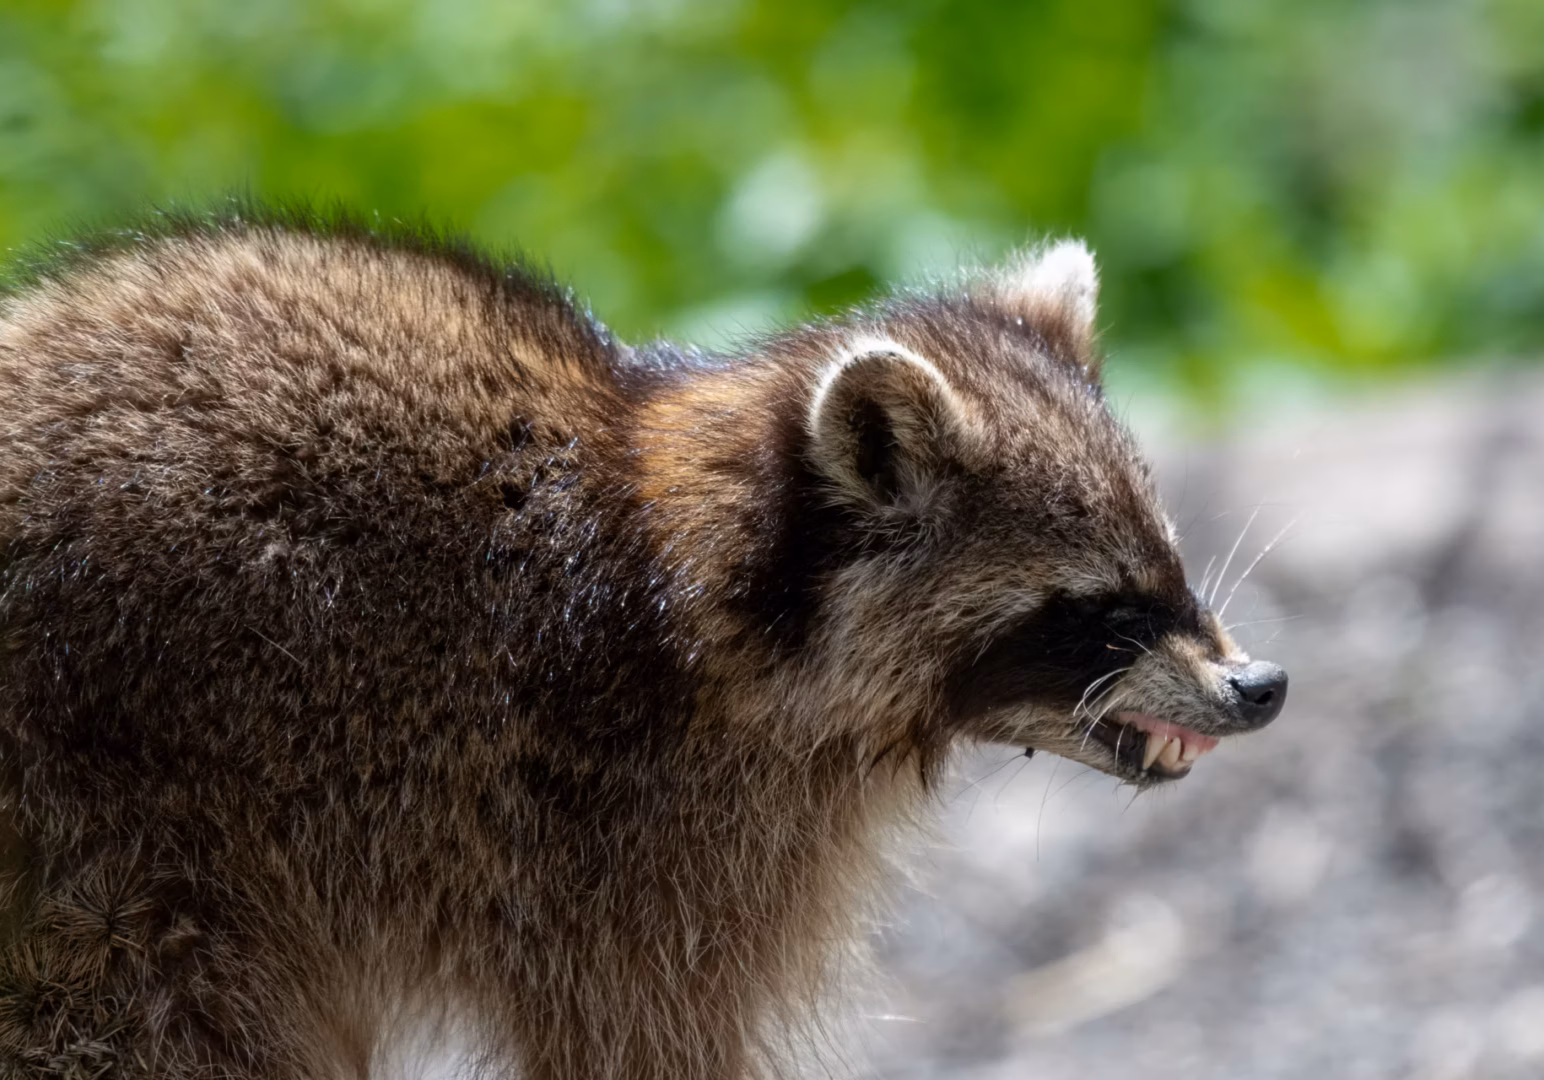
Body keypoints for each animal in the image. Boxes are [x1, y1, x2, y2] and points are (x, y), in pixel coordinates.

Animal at [0, 209, 1285, 1079]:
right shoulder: (618, 833)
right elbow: (641, 1037)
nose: (1260, 685)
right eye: (1098, 608)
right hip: (120, 836)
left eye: (1166, 565)